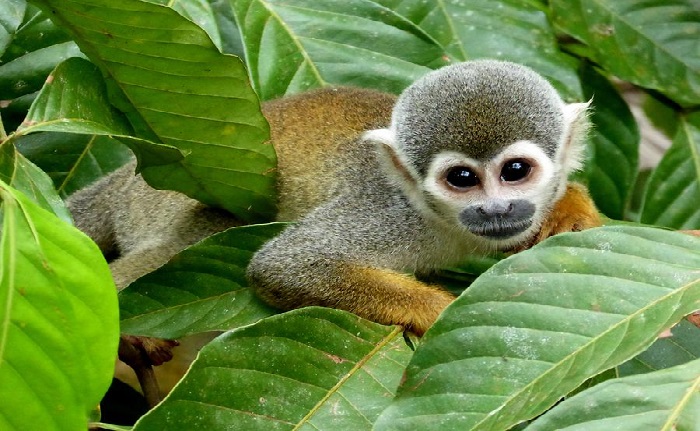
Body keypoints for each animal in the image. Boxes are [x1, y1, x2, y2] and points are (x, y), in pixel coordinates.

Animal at [68, 60, 600, 334]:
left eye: (515, 172)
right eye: (462, 179)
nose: (497, 208)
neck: (445, 224)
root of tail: (125, 176)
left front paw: (571, 209)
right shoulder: (390, 213)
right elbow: (288, 263)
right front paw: (441, 313)